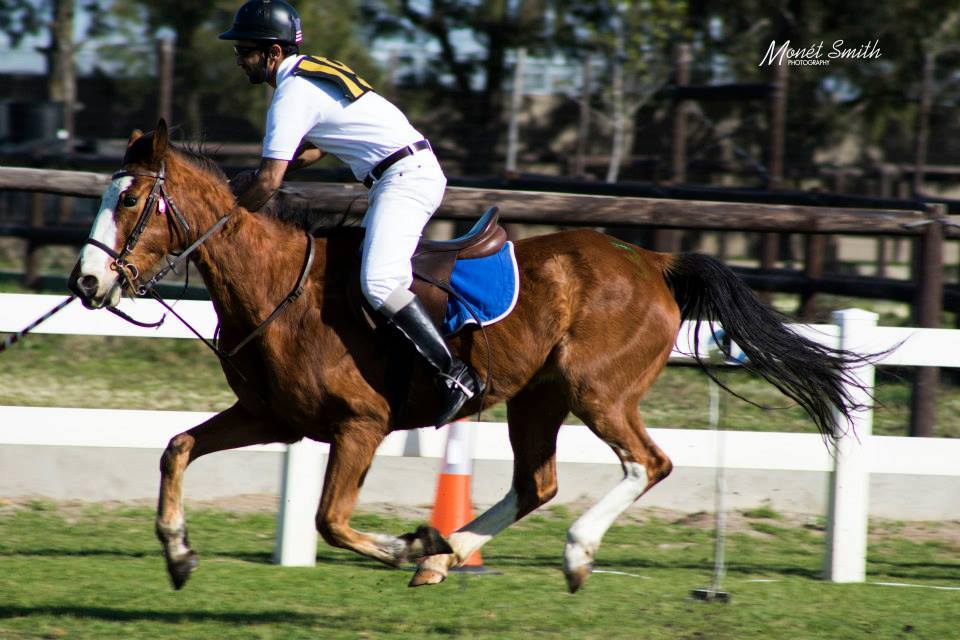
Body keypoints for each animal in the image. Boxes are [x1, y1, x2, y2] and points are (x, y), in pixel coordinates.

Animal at [67, 121, 864, 596]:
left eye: (131, 200)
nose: (87, 283)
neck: (276, 287)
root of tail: (653, 261)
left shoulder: (359, 424)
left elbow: (330, 519)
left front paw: (408, 544)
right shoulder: (273, 417)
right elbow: (178, 447)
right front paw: (178, 554)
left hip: (598, 392)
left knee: (648, 463)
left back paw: (562, 553)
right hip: (538, 398)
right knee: (537, 483)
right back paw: (449, 554)